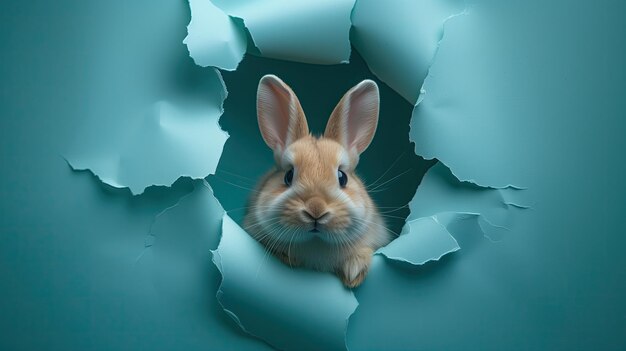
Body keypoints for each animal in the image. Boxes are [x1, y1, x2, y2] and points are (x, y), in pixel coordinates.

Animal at [241, 75, 388, 288]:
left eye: (342, 177)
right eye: (288, 175)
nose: (316, 210)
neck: (316, 242)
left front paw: (353, 272)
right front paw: (288, 257)